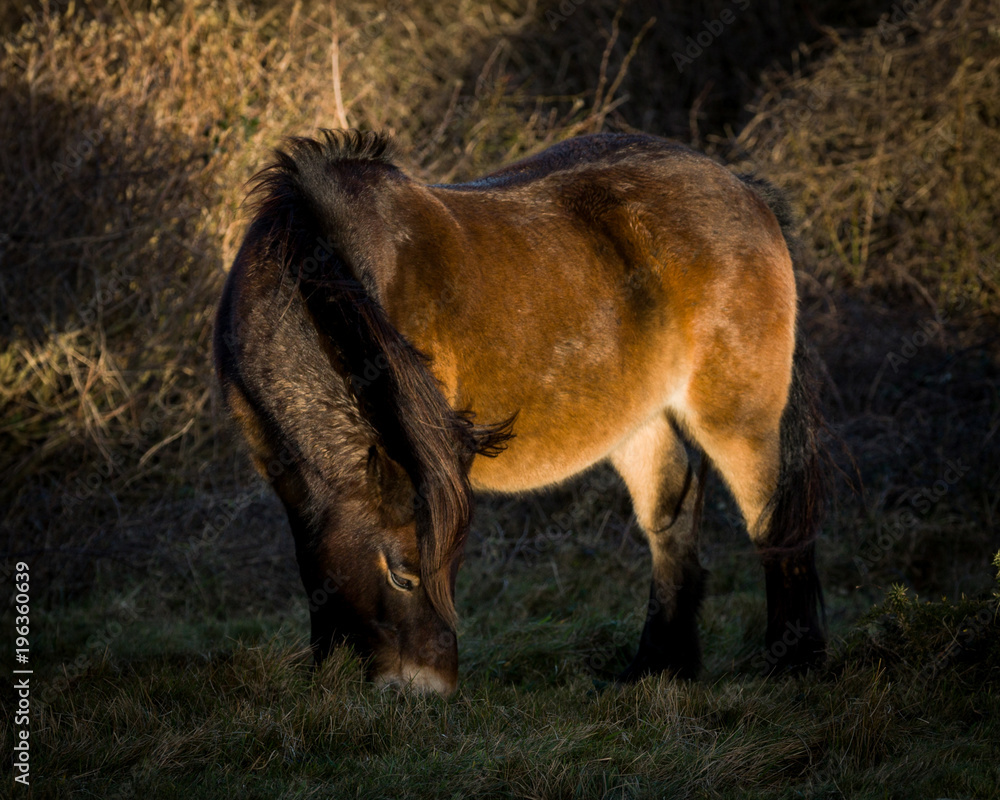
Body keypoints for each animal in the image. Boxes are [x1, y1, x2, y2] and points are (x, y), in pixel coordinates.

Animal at [213, 129, 827, 695]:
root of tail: (745, 188)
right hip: (641, 424)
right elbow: (315, 559)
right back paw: (659, 671)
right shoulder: (289, 476)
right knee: (670, 521)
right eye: (402, 575)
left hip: (740, 421)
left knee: (774, 524)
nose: (430, 690)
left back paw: (792, 665)